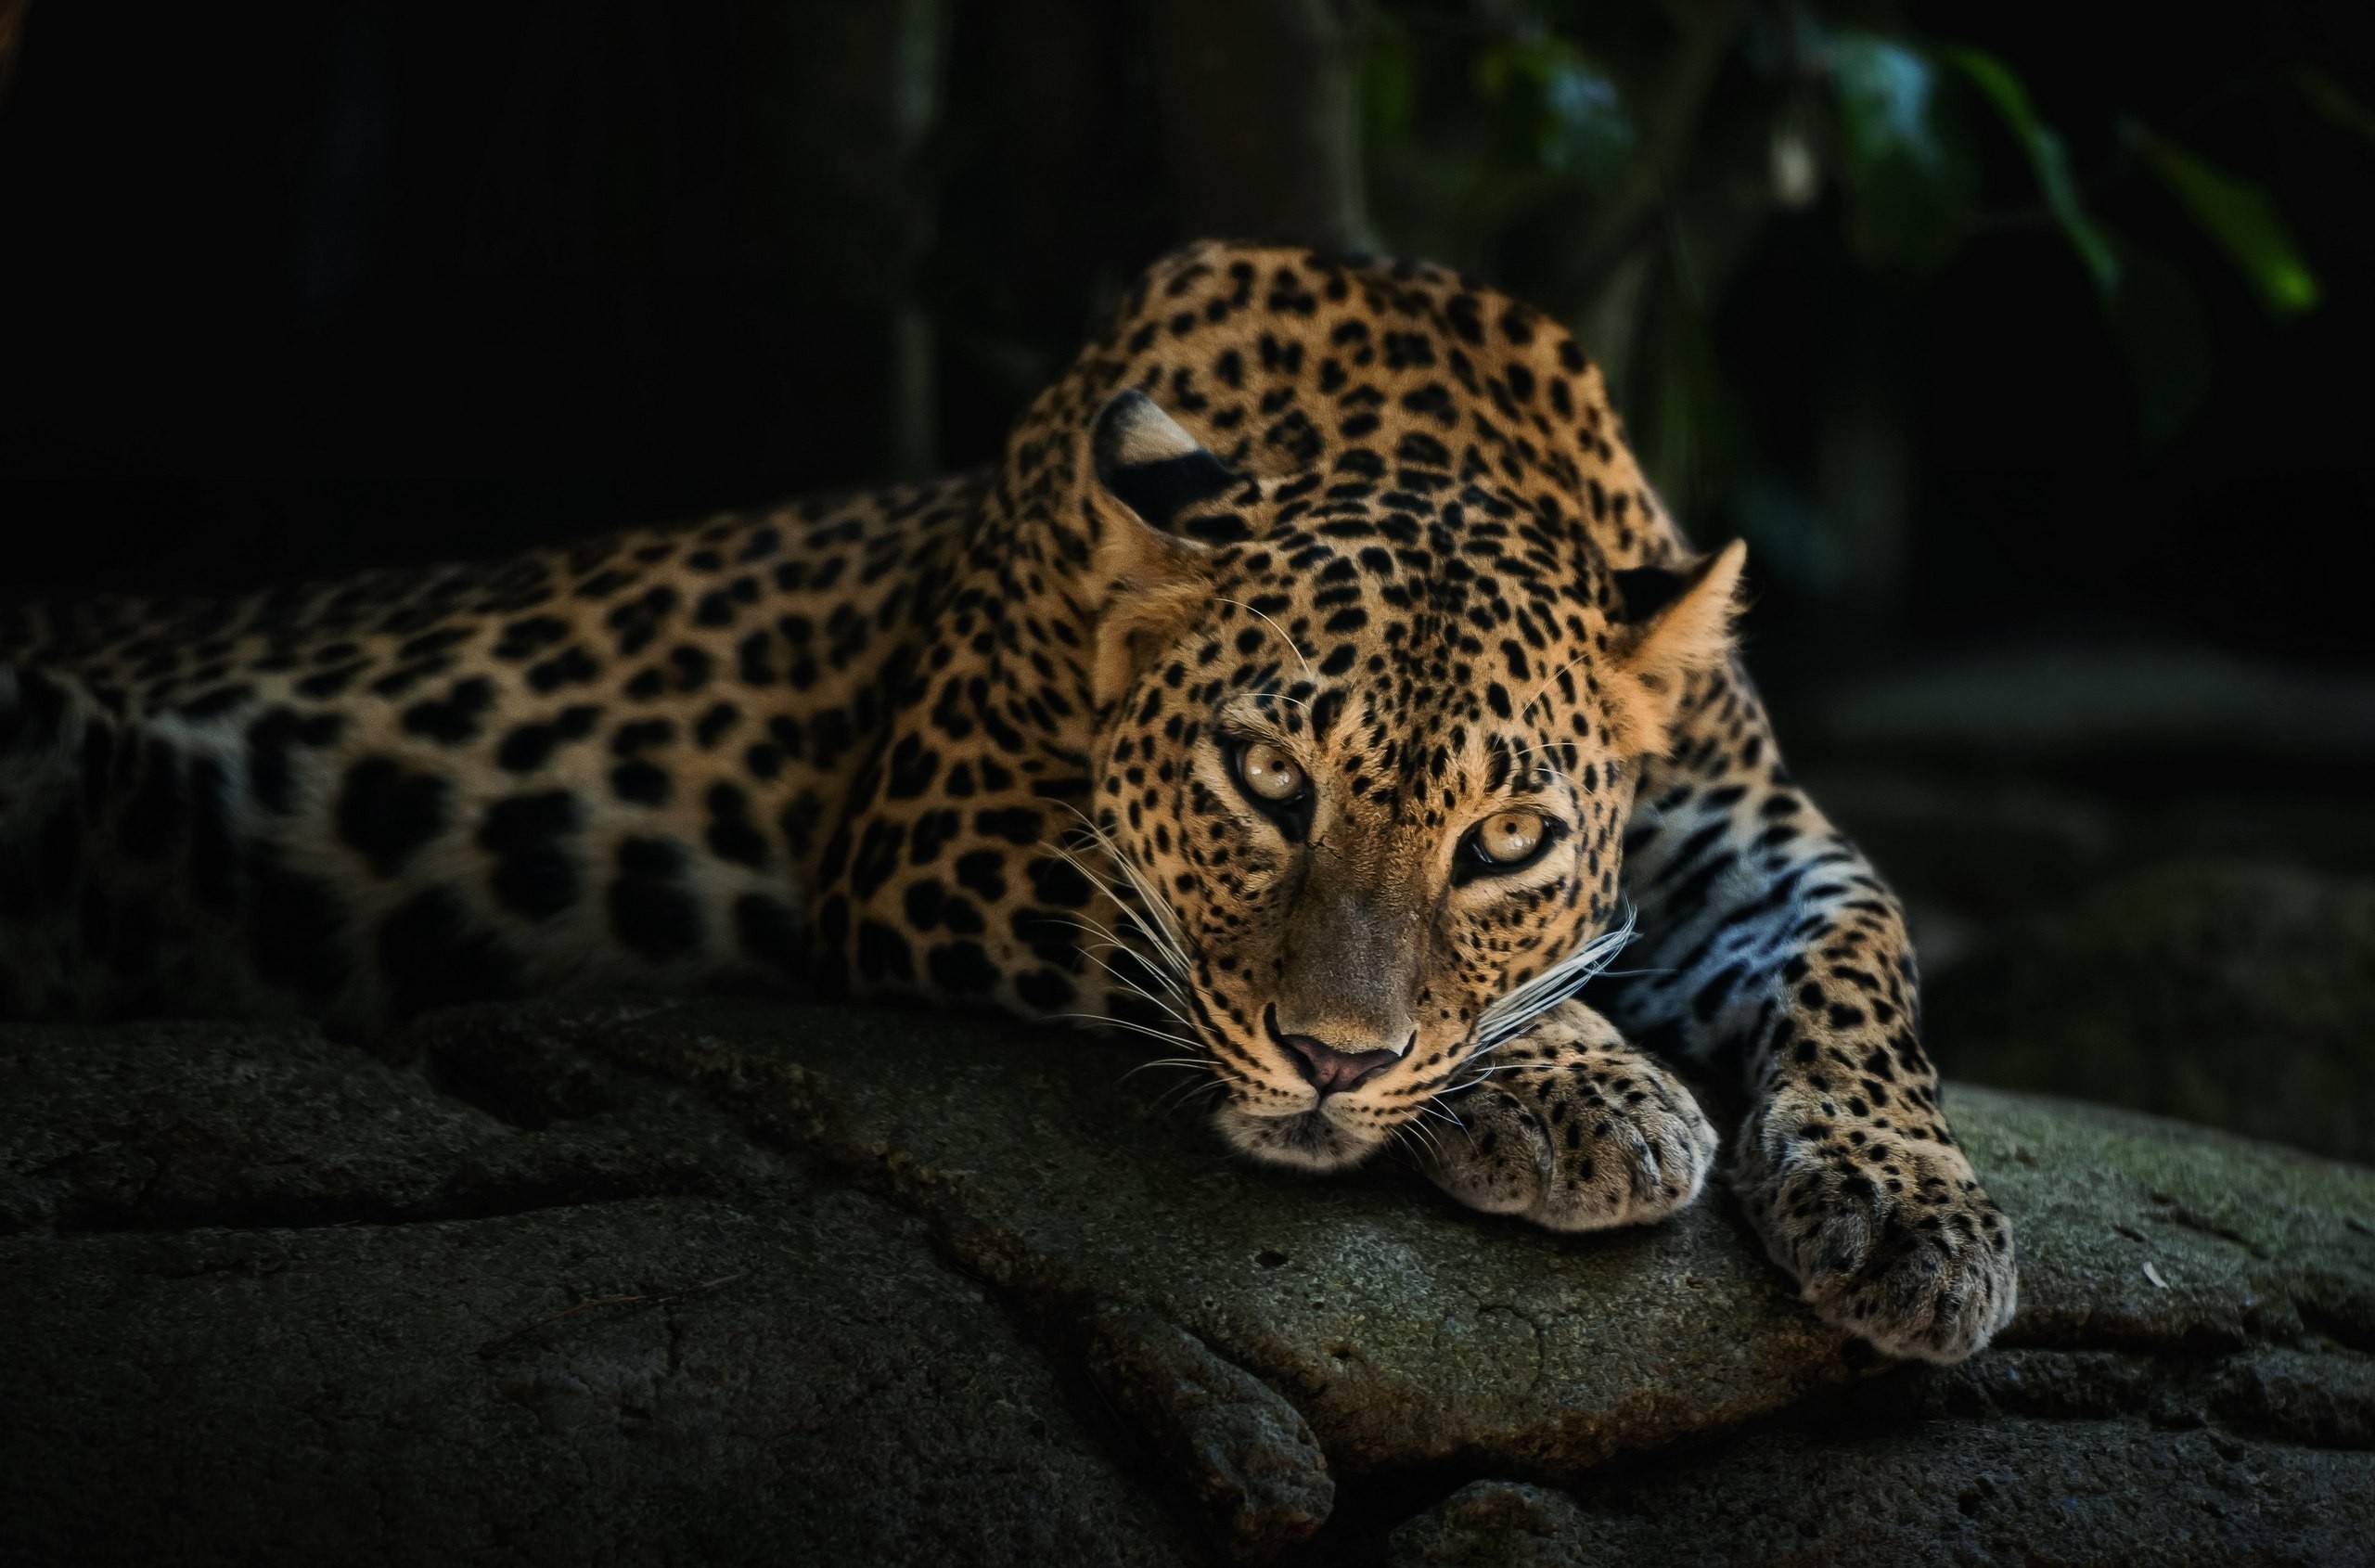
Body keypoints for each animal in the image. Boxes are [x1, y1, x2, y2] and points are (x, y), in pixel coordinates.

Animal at [0, 239, 2015, 1363]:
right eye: (1263, 780)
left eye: (1505, 840)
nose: (1335, 1065)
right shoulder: (934, 830)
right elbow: (1176, 941)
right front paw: (1588, 1087)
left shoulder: (1751, 833)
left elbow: (1866, 955)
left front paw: (1914, 1211)